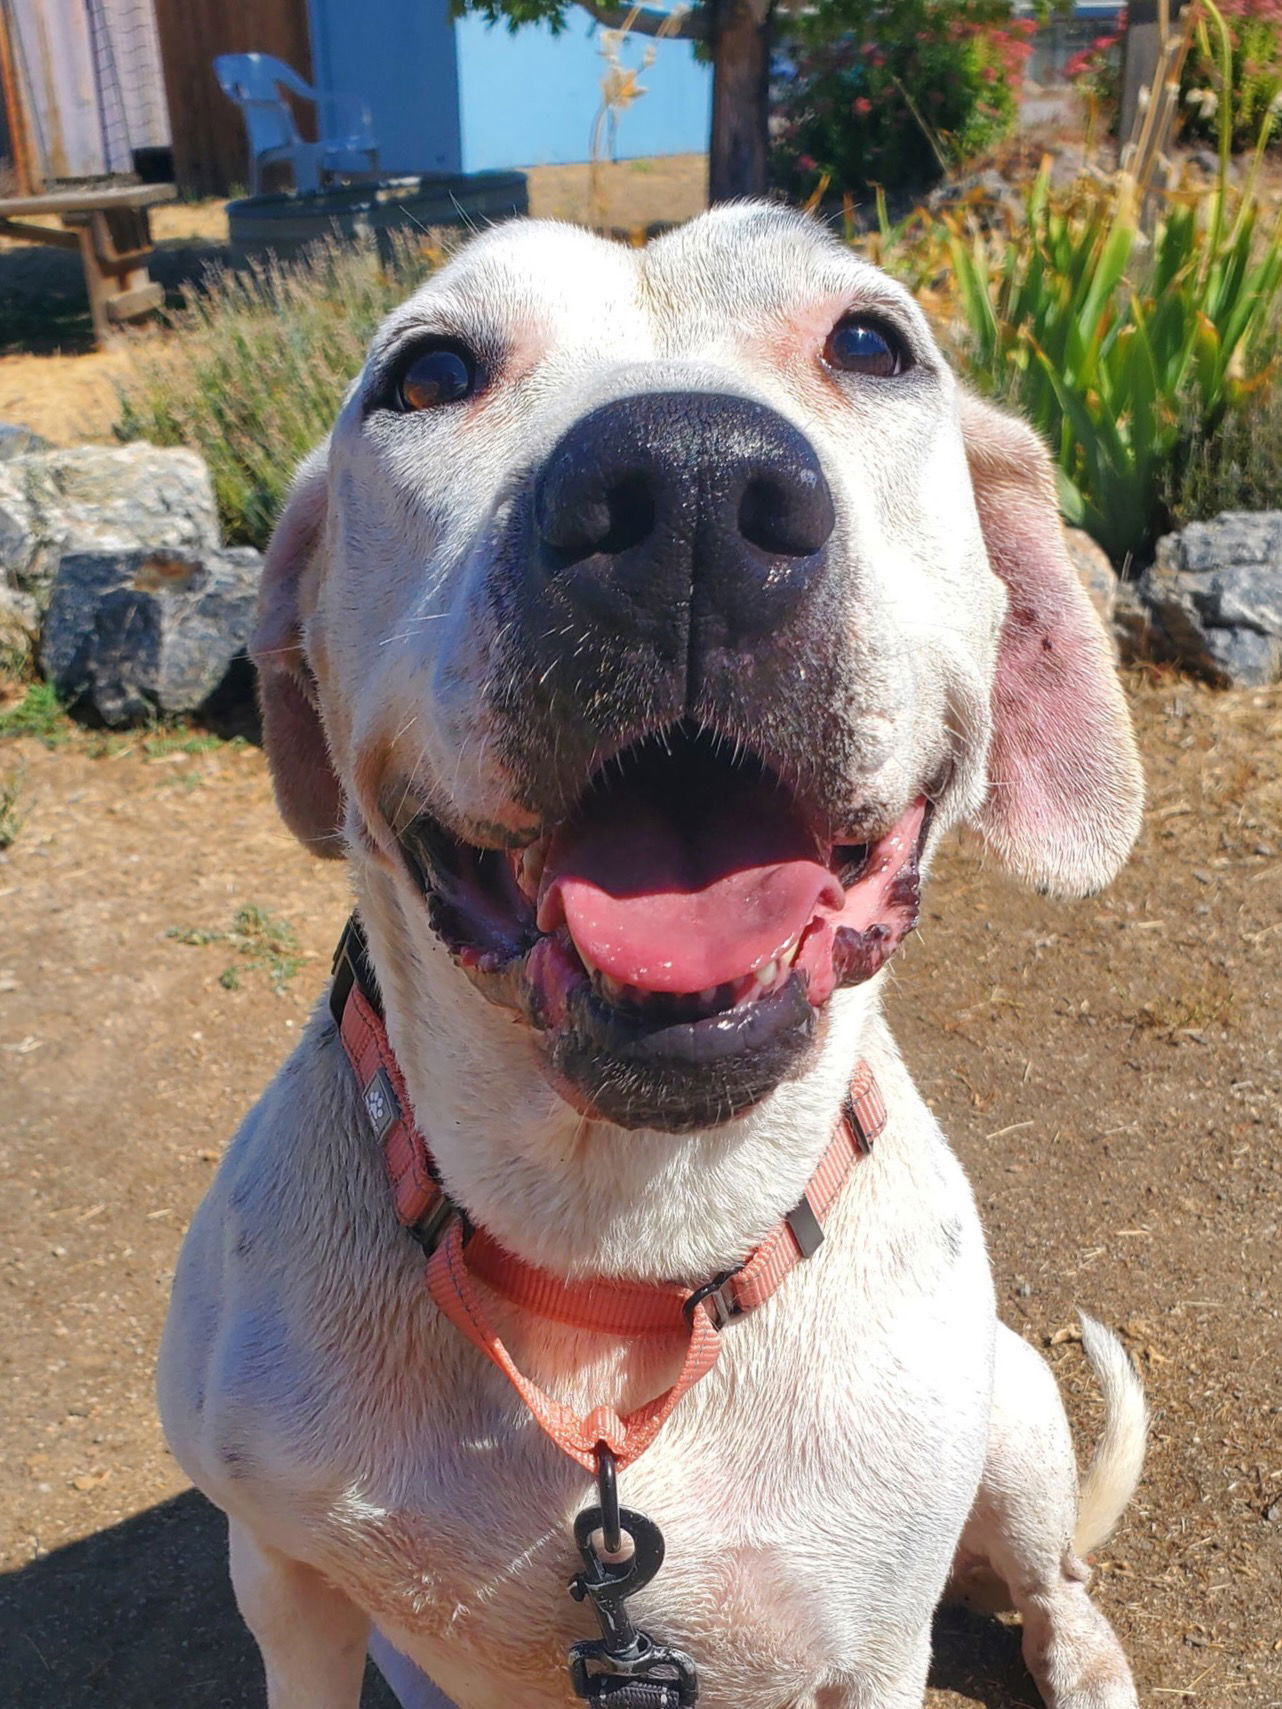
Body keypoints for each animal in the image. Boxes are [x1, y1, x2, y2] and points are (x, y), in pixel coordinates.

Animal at [160, 210, 1155, 1709]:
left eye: (872, 342)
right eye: (427, 372)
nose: (687, 486)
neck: (612, 1243)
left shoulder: (873, 1649)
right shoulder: (284, 1579)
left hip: (1016, 1408)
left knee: (1051, 1575)